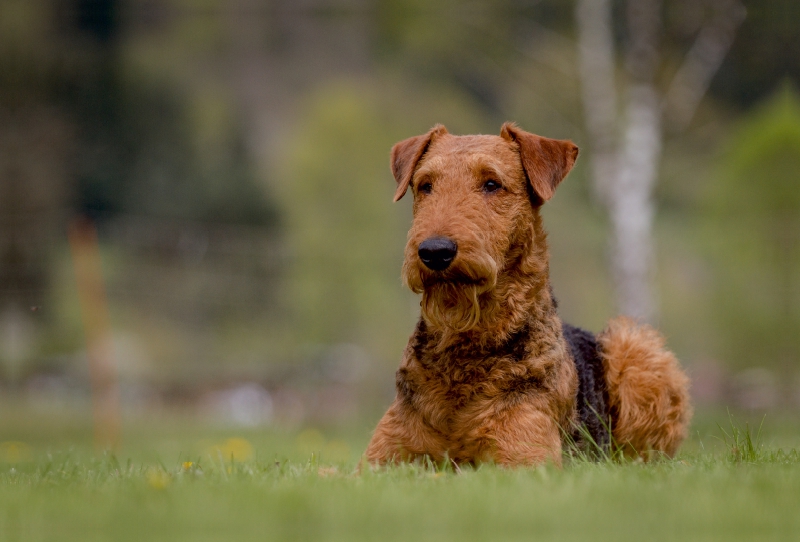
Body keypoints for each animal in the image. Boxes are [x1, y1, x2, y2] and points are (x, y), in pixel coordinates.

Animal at [366, 123, 692, 468]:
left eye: (492, 183)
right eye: (425, 185)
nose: (435, 251)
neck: (466, 349)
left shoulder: (524, 459)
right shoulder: (378, 461)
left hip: (635, 352)